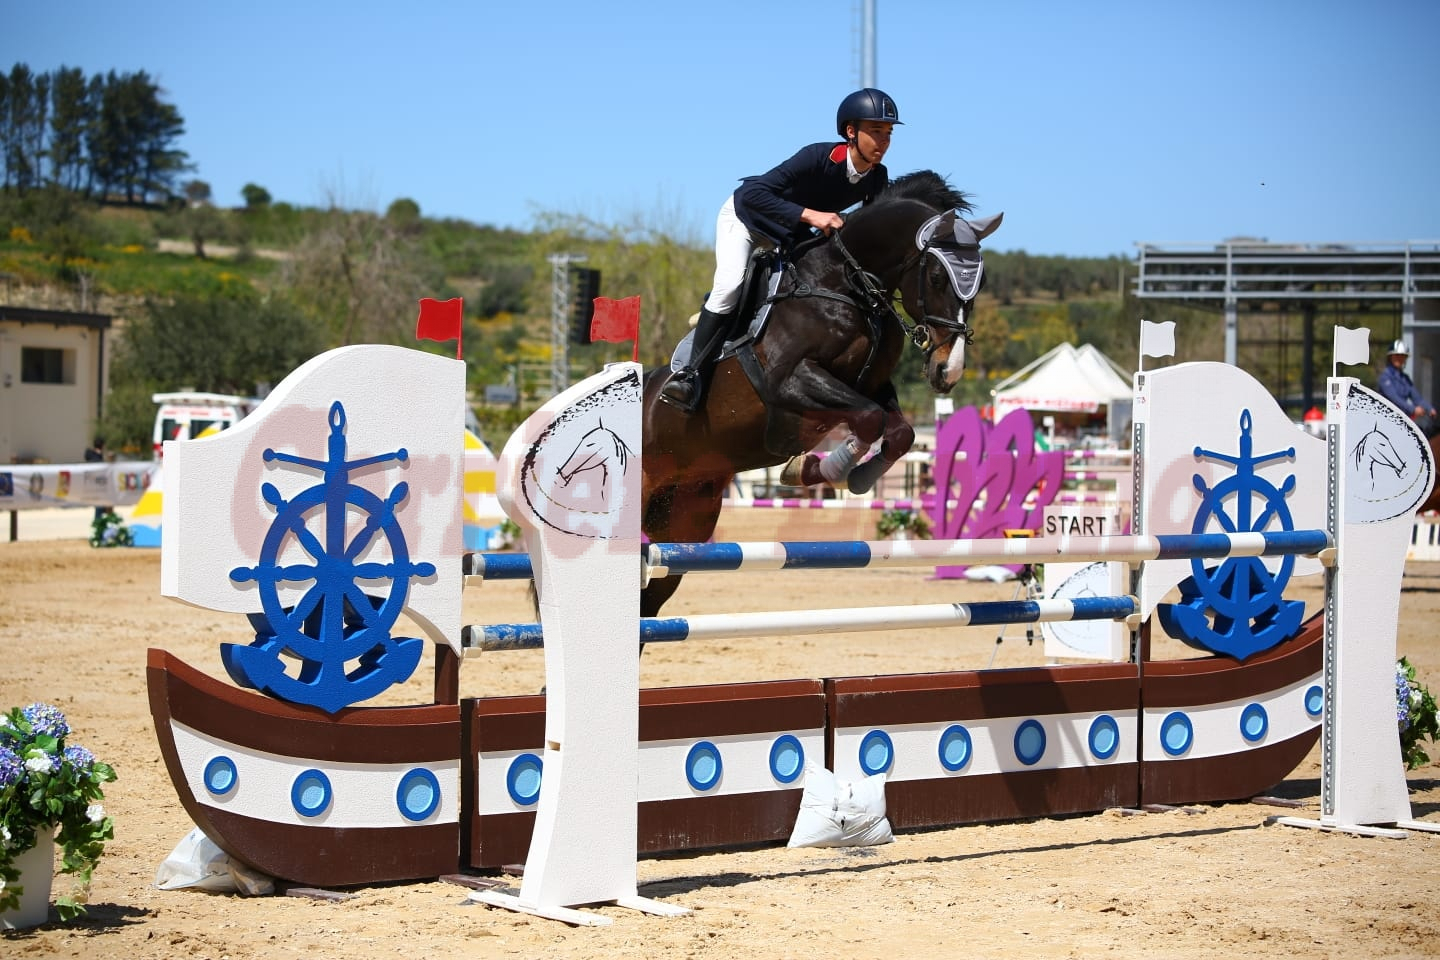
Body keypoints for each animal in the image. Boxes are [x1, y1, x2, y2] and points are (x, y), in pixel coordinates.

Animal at [642, 170, 1002, 616]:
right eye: (936, 277)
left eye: (980, 283)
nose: (947, 370)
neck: (843, 285)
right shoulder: (791, 381)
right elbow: (869, 418)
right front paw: (819, 469)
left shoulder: (871, 385)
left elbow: (897, 431)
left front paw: (841, 475)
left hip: (683, 516)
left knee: (651, 595)